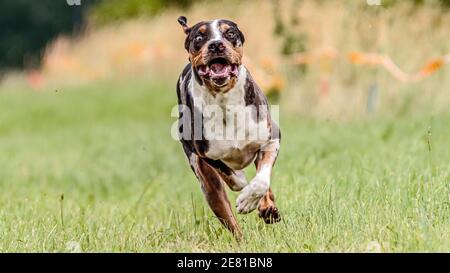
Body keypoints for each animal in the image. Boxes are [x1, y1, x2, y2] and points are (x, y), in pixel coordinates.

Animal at [176, 16, 282, 238]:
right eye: (199, 37)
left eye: (230, 33)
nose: (216, 44)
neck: (224, 100)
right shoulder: (205, 154)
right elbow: (233, 177)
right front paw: (243, 189)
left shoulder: (271, 138)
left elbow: (261, 180)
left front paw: (251, 199)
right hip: (208, 186)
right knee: (230, 221)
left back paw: (267, 208)